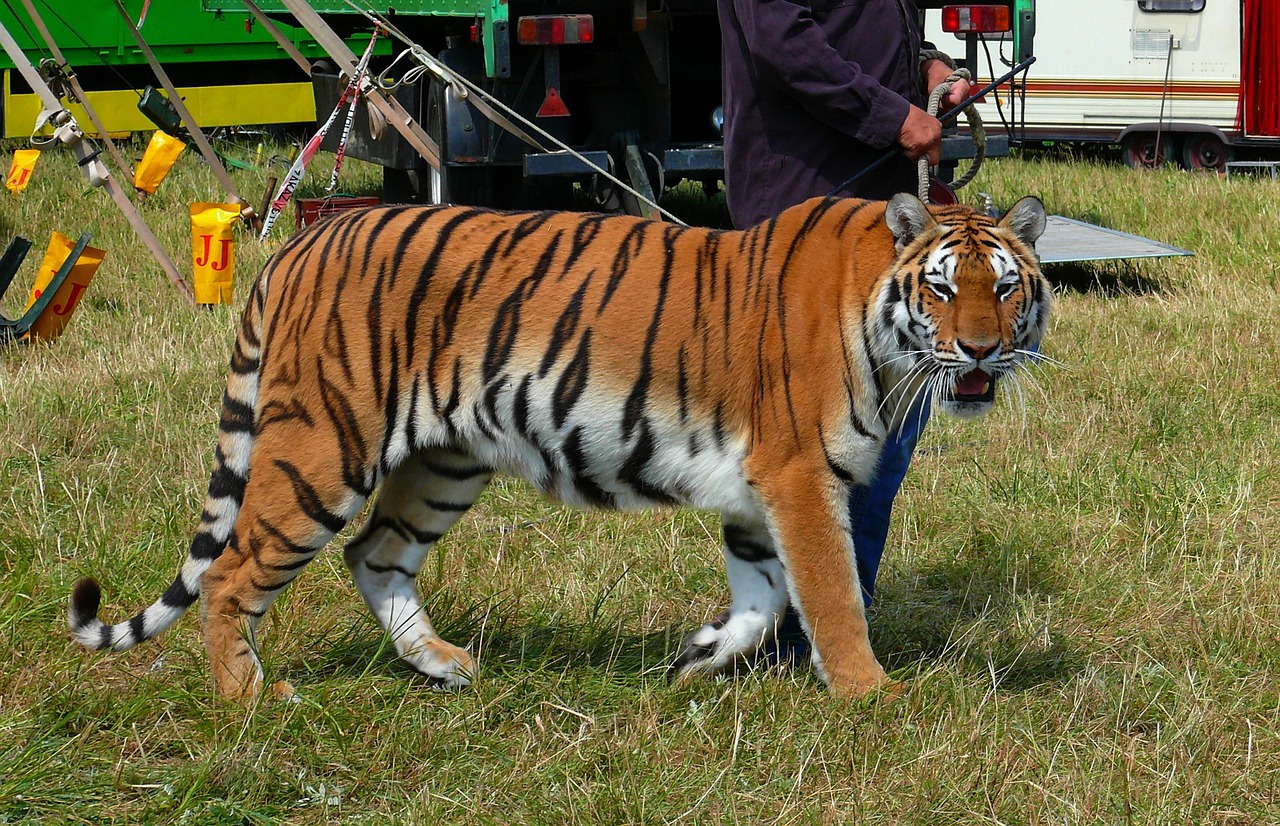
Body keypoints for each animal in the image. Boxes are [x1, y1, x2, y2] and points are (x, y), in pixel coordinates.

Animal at [68, 192, 1050, 700]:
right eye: (941, 289)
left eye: (1004, 288)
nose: (979, 350)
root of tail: (303, 240)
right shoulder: (800, 476)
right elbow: (832, 594)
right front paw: (870, 695)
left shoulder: (757, 490)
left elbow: (764, 596)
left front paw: (699, 657)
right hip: (323, 447)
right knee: (233, 572)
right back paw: (251, 702)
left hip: (443, 464)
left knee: (374, 554)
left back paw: (443, 666)